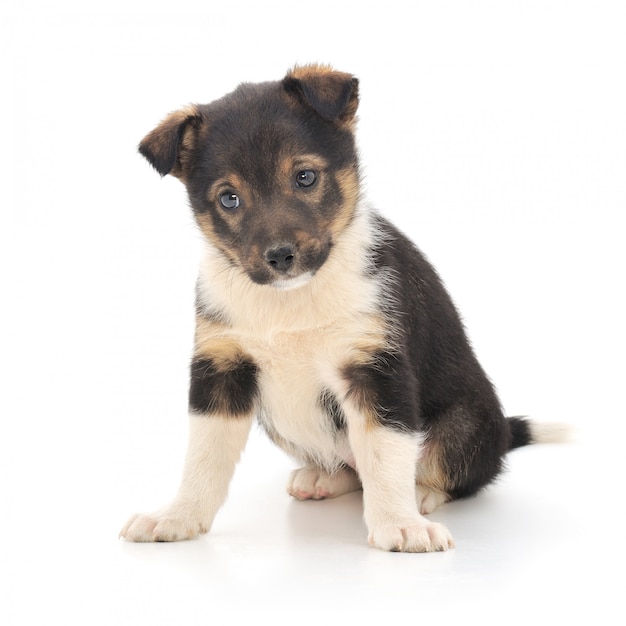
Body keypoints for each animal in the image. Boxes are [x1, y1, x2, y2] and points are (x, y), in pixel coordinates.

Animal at [120, 64, 560, 552]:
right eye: (228, 198)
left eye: (305, 177)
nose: (280, 257)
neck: (291, 299)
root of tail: (503, 432)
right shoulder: (221, 368)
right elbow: (202, 457)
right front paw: (176, 516)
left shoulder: (374, 369)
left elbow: (385, 452)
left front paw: (399, 524)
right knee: (352, 468)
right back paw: (324, 479)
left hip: (465, 423)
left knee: (446, 470)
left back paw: (420, 494)